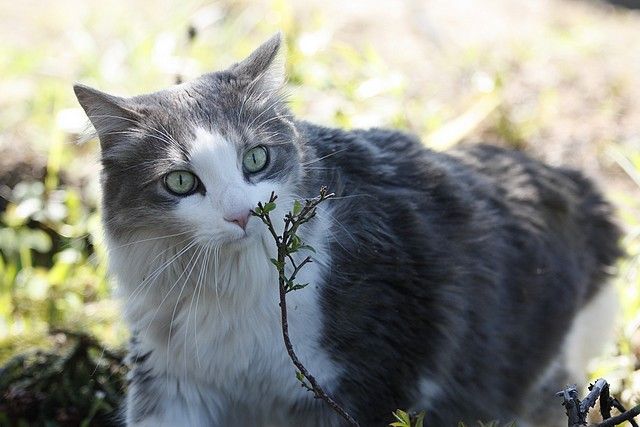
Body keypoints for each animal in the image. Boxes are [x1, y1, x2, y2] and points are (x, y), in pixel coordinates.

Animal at [74, 34, 620, 427]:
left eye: (256, 159)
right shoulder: (174, 385)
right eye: (181, 182)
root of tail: (575, 186)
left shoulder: (369, 383)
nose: (241, 216)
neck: (232, 290)